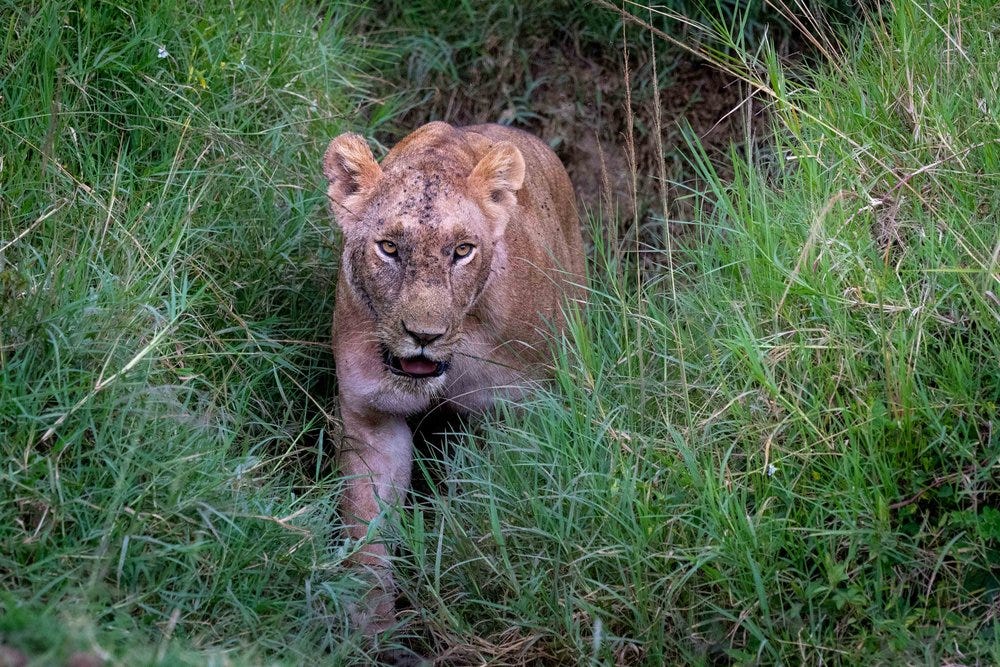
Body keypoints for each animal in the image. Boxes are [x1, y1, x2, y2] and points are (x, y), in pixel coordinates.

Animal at [323, 121, 585, 632]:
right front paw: (372, 627)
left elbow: (495, 501)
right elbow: (367, 526)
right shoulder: (372, 419)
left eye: (462, 251)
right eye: (389, 248)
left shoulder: (516, 412)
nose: (423, 335)